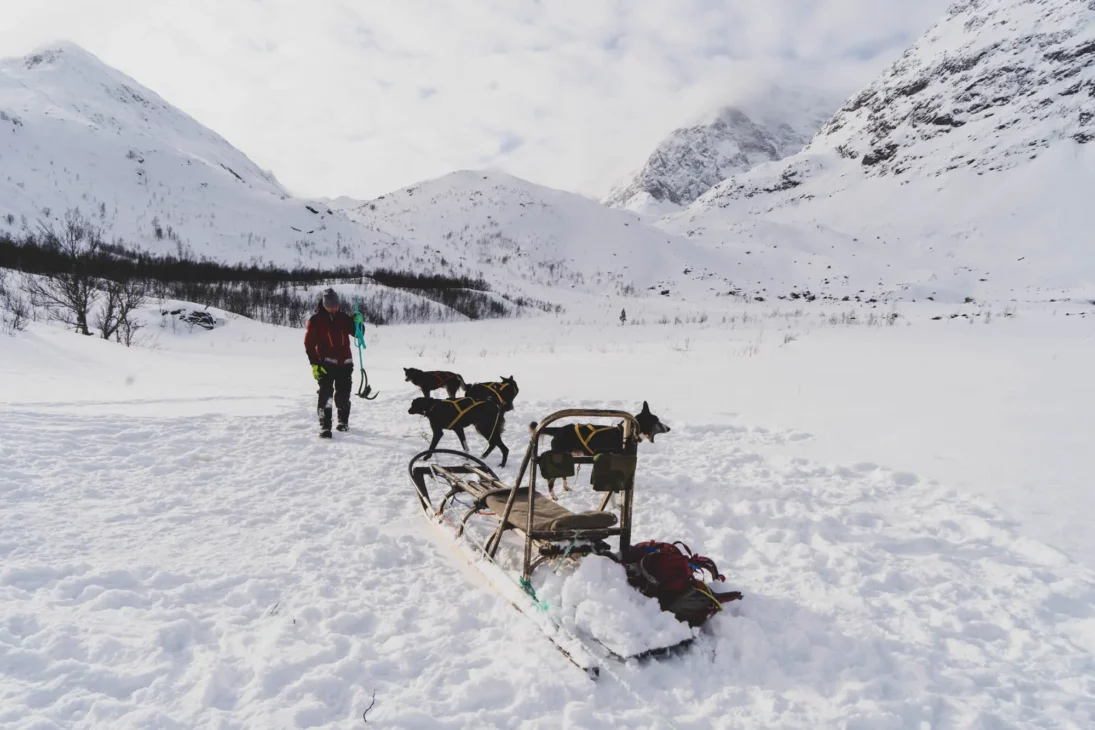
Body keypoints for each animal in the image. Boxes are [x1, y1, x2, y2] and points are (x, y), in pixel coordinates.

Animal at [527, 402, 670, 499]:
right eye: (657, 421)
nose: (669, 428)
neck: (626, 434)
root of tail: (559, 430)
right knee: (550, 480)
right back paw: (553, 496)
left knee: (563, 476)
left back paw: (565, 487)